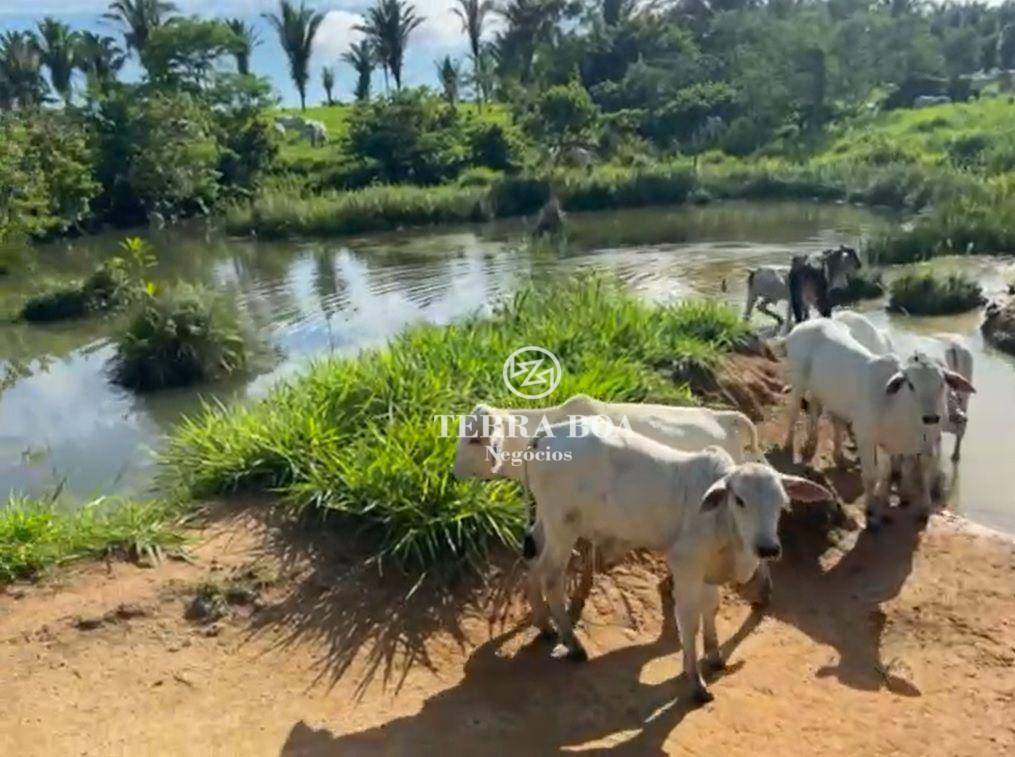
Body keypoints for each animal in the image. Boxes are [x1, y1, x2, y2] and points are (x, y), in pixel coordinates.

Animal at [519, 422, 828, 706]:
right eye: (740, 500)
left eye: (782, 501)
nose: (768, 548)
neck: (723, 522)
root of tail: (546, 435)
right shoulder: (685, 564)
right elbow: (689, 621)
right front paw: (696, 682)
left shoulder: (707, 570)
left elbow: (710, 608)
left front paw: (714, 657)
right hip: (563, 526)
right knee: (551, 576)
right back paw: (573, 645)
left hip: (546, 523)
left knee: (532, 563)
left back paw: (545, 627)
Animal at [779, 316, 970, 523]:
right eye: (911, 384)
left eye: (942, 383)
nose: (931, 417)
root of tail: (806, 324)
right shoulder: (866, 437)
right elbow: (872, 475)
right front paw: (871, 510)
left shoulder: (919, 445)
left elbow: (912, 472)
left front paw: (920, 506)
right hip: (798, 381)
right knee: (794, 411)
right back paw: (789, 445)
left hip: (820, 391)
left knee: (817, 410)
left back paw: (817, 448)